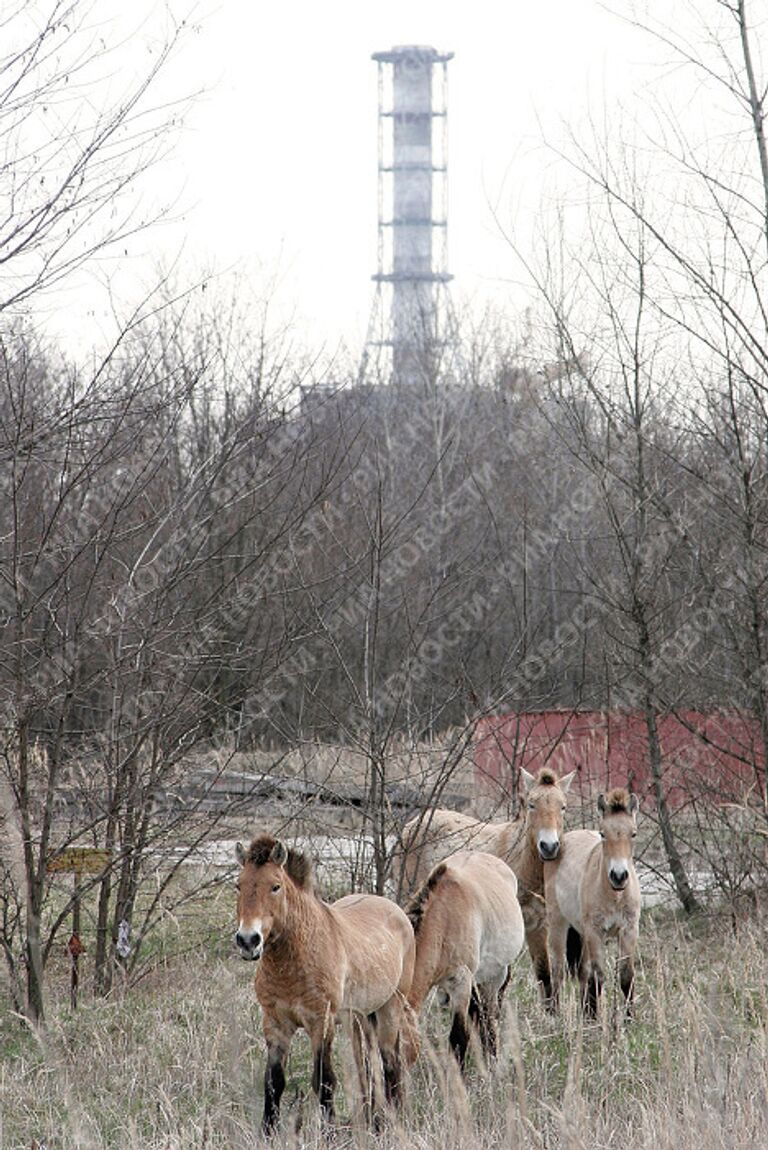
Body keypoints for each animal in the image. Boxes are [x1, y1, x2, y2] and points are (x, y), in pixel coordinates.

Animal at [235, 837, 420, 1131]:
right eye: (238, 885)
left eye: (275, 886)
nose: (248, 941)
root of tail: (395, 910)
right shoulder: (275, 1024)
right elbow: (273, 1082)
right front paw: (267, 1132)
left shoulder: (319, 1023)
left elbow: (324, 1081)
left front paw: (329, 1133)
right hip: (360, 1019)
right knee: (367, 1067)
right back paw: (373, 1120)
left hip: (389, 1009)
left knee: (390, 1064)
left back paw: (393, 1122)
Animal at [395, 768, 574, 1012]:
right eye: (532, 805)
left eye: (562, 806)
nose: (549, 846)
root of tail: (412, 824)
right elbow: (503, 982)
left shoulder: (539, 924)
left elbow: (544, 974)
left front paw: (552, 1014)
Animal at [544, 786, 643, 1021]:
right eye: (603, 834)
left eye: (633, 833)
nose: (619, 876)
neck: (614, 895)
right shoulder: (595, 932)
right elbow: (598, 976)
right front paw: (597, 1021)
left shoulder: (629, 930)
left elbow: (626, 976)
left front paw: (630, 1019)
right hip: (559, 926)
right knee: (558, 969)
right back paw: (556, 1014)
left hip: (582, 933)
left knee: (583, 971)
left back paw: (585, 1012)